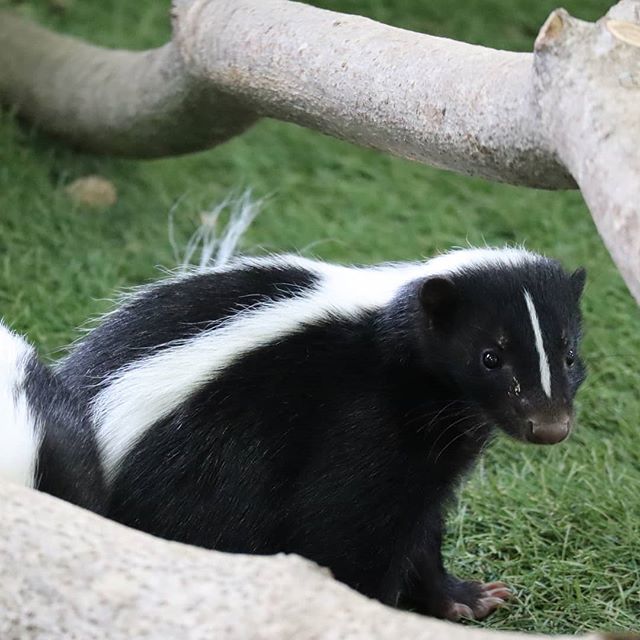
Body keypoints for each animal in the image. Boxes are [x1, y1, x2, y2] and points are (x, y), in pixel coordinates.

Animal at [0, 246, 588, 620]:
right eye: (490, 357)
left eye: (568, 354)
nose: (549, 425)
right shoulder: (359, 428)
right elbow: (346, 530)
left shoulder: (430, 452)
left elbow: (421, 527)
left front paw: (462, 598)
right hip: (207, 474)